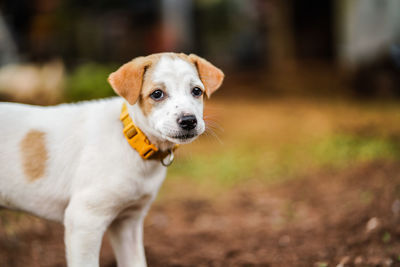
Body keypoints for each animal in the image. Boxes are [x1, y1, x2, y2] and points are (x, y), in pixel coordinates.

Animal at [0, 52, 225, 267]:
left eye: (196, 91)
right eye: (157, 94)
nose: (189, 121)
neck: (132, 142)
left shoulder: (128, 222)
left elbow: (136, 263)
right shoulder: (84, 219)